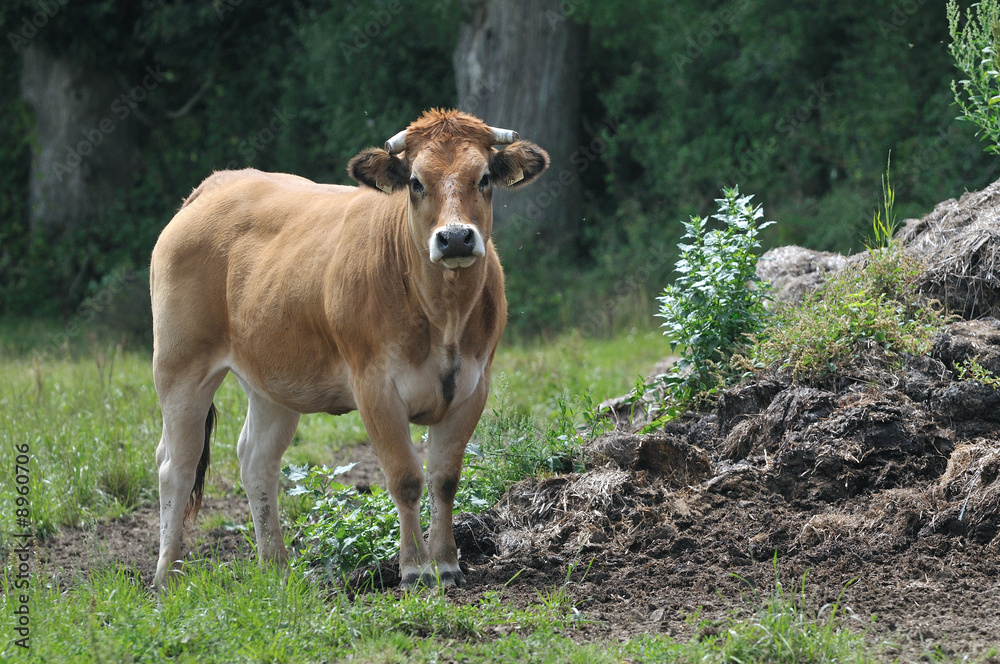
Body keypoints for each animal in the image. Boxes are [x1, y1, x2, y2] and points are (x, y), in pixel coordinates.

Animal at [150, 109, 549, 591]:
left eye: (485, 177)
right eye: (416, 182)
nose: (455, 238)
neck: (444, 315)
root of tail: (218, 182)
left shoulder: (473, 386)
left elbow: (445, 479)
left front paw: (447, 564)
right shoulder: (374, 387)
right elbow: (406, 478)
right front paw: (415, 569)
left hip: (272, 379)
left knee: (256, 460)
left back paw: (276, 566)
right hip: (180, 365)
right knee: (176, 466)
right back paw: (166, 576)